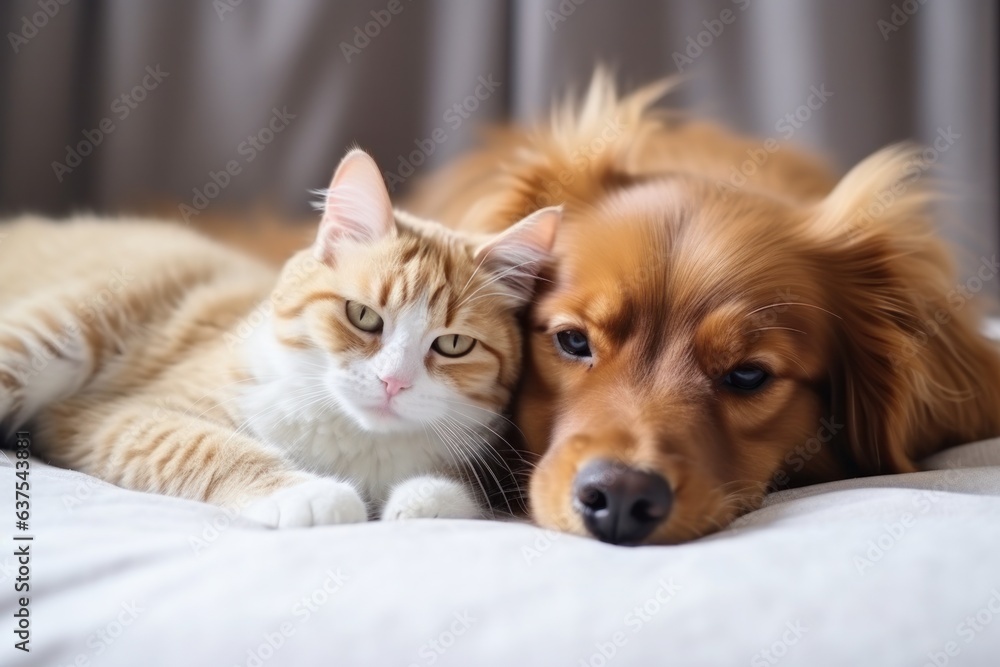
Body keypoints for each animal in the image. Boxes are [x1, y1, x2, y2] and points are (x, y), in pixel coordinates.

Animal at [0, 150, 564, 528]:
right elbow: (211, 448)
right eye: (363, 316)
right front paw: (313, 494)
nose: (393, 383)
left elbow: (452, 491)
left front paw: (423, 500)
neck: (354, 440)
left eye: (452, 345)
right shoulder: (119, 413)